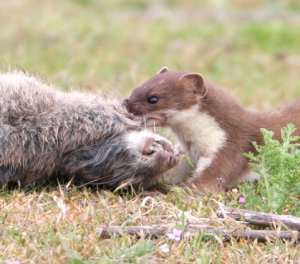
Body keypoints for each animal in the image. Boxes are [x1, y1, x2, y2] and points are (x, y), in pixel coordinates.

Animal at [123, 67, 300, 193]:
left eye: (153, 98)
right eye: (137, 88)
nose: (125, 102)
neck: (195, 144)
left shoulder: (229, 151)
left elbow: (207, 183)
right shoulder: (187, 155)